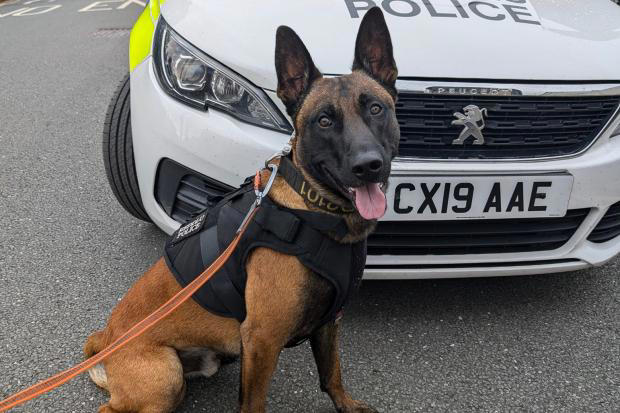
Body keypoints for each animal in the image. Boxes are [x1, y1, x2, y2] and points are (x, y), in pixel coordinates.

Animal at [85, 7, 400, 412]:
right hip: (166, 376)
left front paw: (346, 405)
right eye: (324, 121)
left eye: (376, 109)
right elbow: (254, 403)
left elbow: (332, 373)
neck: (314, 207)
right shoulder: (262, 341)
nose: (368, 166)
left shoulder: (329, 323)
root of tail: (107, 339)